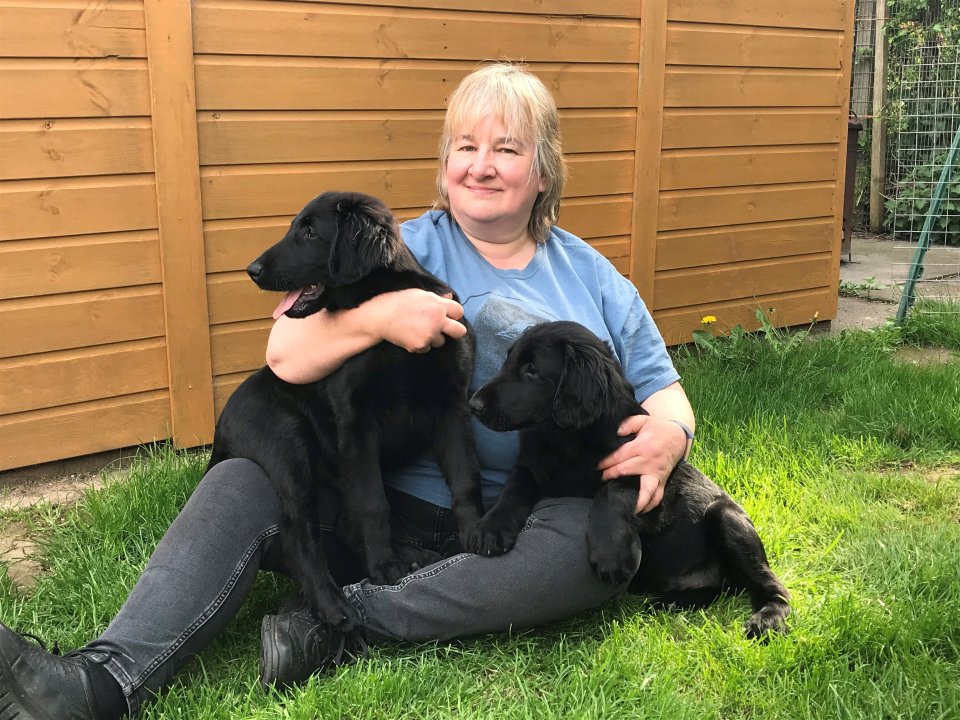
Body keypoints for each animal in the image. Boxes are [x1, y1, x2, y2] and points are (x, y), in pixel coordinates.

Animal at [215, 191, 492, 632]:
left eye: (310, 232)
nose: (252, 270)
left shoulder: (452, 407)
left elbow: (465, 477)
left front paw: (473, 534)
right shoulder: (356, 426)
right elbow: (373, 505)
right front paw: (383, 569)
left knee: (343, 524)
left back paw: (410, 556)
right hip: (287, 445)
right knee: (299, 534)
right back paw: (333, 606)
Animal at [468, 320, 792, 636]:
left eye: (532, 370)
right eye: (508, 361)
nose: (473, 405)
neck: (563, 439)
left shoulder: (649, 472)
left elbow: (612, 490)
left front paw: (611, 555)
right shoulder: (529, 466)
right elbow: (513, 489)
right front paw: (492, 527)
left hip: (726, 519)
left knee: (772, 586)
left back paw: (768, 618)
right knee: (717, 589)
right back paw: (671, 601)